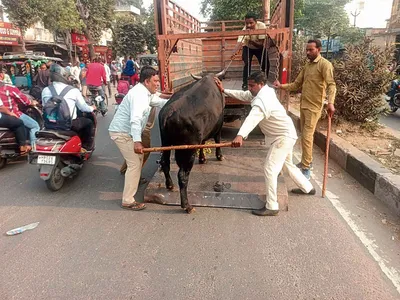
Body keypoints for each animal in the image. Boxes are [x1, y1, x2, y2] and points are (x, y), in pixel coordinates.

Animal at [159, 72, 227, 213]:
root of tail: (169, 111)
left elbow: (203, 143)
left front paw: (202, 158)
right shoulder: (219, 125)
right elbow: (217, 140)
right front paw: (219, 156)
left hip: (165, 143)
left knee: (165, 163)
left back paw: (170, 185)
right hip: (188, 150)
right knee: (182, 175)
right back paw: (187, 205)